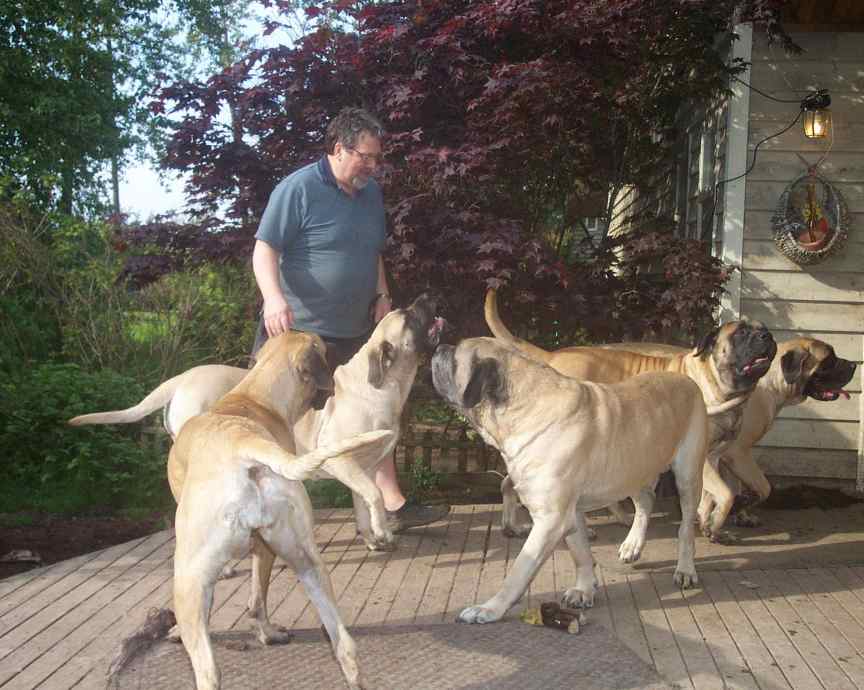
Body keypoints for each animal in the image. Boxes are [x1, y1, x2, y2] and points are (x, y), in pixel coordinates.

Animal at [166, 330, 394, 684]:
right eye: (325, 346)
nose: (345, 346)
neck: (254, 398)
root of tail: (245, 441)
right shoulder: (265, 549)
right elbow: (258, 598)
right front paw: (267, 633)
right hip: (310, 565)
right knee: (345, 645)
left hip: (188, 577)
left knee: (207, 670)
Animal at [486, 288, 776, 544]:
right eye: (741, 332)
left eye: (764, 329)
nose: (767, 335)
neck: (716, 383)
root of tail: (552, 355)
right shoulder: (703, 457)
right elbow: (726, 494)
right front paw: (714, 523)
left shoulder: (713, 456)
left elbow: (709, 497)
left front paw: (709, 524)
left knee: (510, 484)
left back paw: (514, 526)